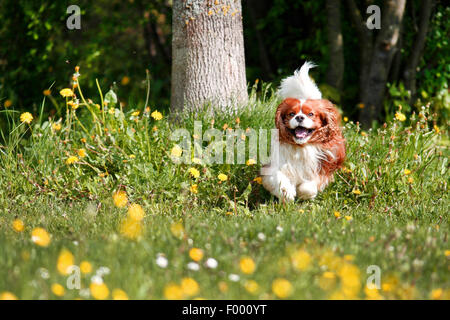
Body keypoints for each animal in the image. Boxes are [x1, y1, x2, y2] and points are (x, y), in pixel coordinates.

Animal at [260, 61, 344, 201]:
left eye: (310, 114)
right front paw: (287, 192)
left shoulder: (322, 168)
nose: (299, 117)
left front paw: (302, 193)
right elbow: (278, 177)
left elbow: (309, 187)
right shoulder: (276, 164)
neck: (301, 146)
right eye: (291, 114)